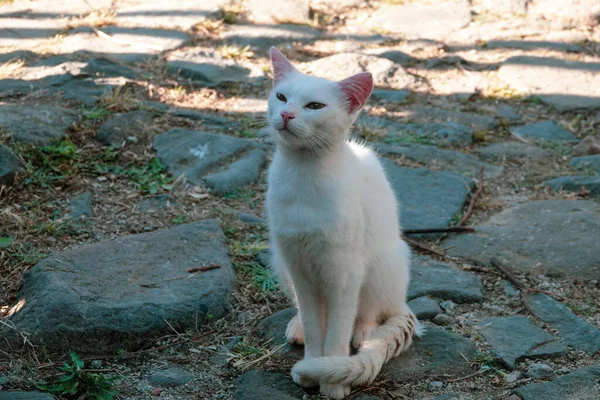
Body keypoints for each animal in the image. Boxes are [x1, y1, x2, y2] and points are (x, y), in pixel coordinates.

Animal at [264, 47, 420, 400]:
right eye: (281, 97)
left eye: (314, 106)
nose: (287, 114)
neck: (303, 178)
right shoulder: (299, 267)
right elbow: (314, 323)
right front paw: (312, 366)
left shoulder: (344, 274)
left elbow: (337, 331)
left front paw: (331, 379)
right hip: (280, 262)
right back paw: (298, 329)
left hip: (383, 264)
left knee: (371, 313)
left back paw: (363, 334)